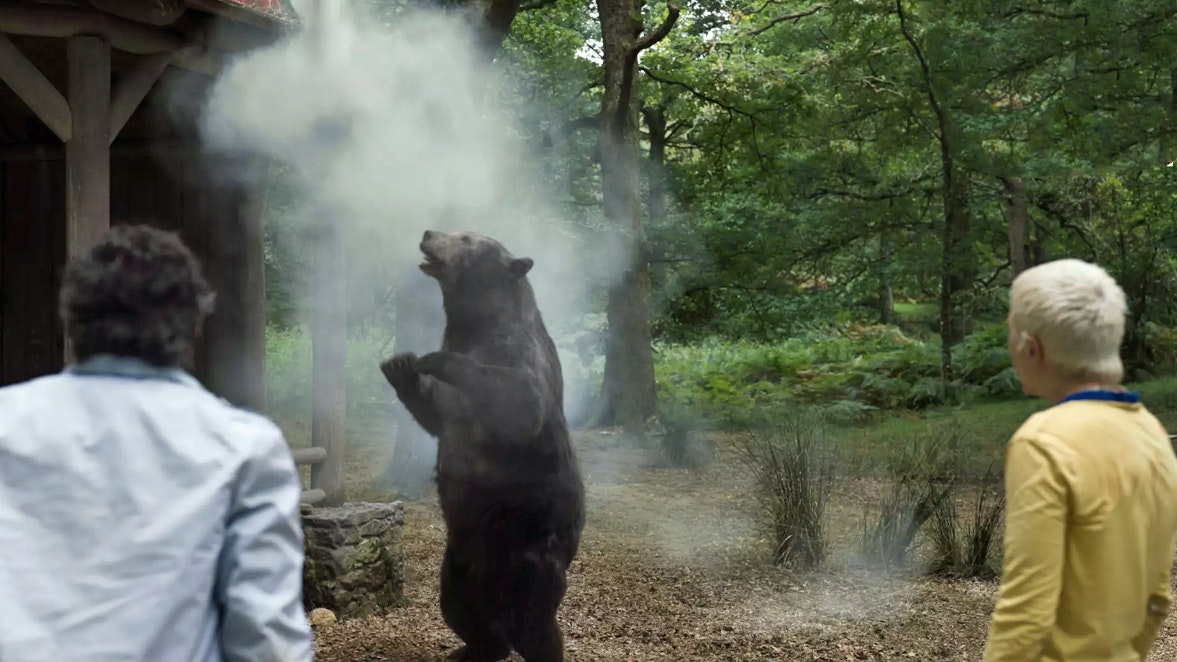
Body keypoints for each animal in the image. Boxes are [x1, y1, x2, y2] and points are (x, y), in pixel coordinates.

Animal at [379, 229, 586, 662]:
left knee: (536, 625)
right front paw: (400, 367)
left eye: (466, 238)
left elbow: (517, 398)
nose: (427, 233)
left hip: (529, 550)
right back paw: (468, 649)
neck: (475, 323)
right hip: (459, 556)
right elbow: (438, 415)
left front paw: (429, 358)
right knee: (459, 607)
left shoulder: (520, 357)